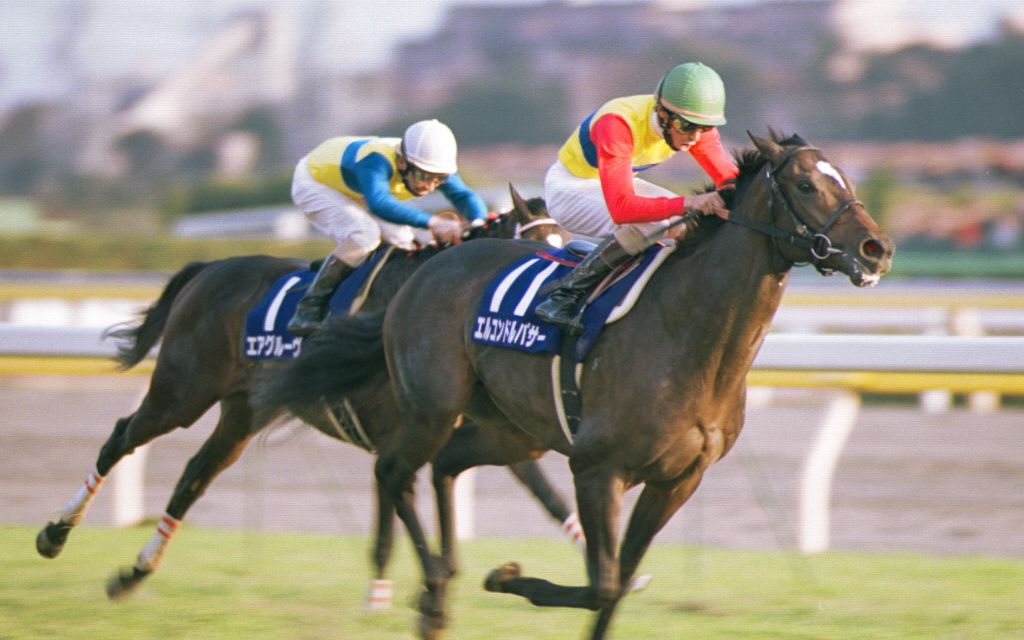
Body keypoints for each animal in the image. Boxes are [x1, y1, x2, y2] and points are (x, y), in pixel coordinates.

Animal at [34, 187, 578, 606]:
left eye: (568, 246)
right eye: (537, 249)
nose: (554, 309)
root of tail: (210, 268)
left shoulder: (471, 428)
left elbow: (545, 495)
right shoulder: (398, 434)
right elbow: (391, 507)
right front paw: (385, 596)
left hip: (241, 412)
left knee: (194, 477)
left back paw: (135, 572)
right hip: (182, 391)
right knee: (122, 437)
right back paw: (55, 534)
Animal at [260, 131, 895, 639]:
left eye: (844, 177)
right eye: (807, 186)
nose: (878, 249)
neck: (690, 335)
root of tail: (426, 270)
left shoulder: (677, 480)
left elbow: (615, 589)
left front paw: (507, 576)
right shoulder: (596, 468)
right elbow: (604, 585)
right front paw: (507, 575)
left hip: (510, 429)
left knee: (445, 465)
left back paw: (441, 586)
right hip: (432, 407)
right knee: (394, 472)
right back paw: (435, 589)